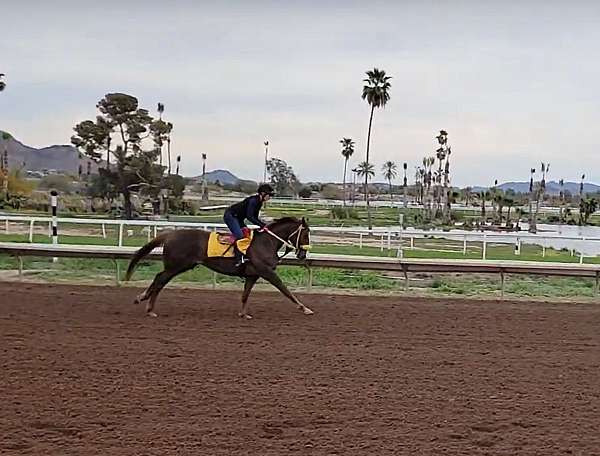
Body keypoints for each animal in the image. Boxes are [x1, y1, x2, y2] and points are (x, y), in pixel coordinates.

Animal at [125, 216, 316, 318]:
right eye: (305, 234)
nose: (302, 254)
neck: (266, 242)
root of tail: (170, 234)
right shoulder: (266, 272)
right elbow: (285, 290)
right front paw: (304, 308)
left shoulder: (252, 275)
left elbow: (245, 295)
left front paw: (243, 314)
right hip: (177, 266)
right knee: (160, 279)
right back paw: (147, 305)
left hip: (181, 266)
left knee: (160, 280)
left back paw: (144, 301)